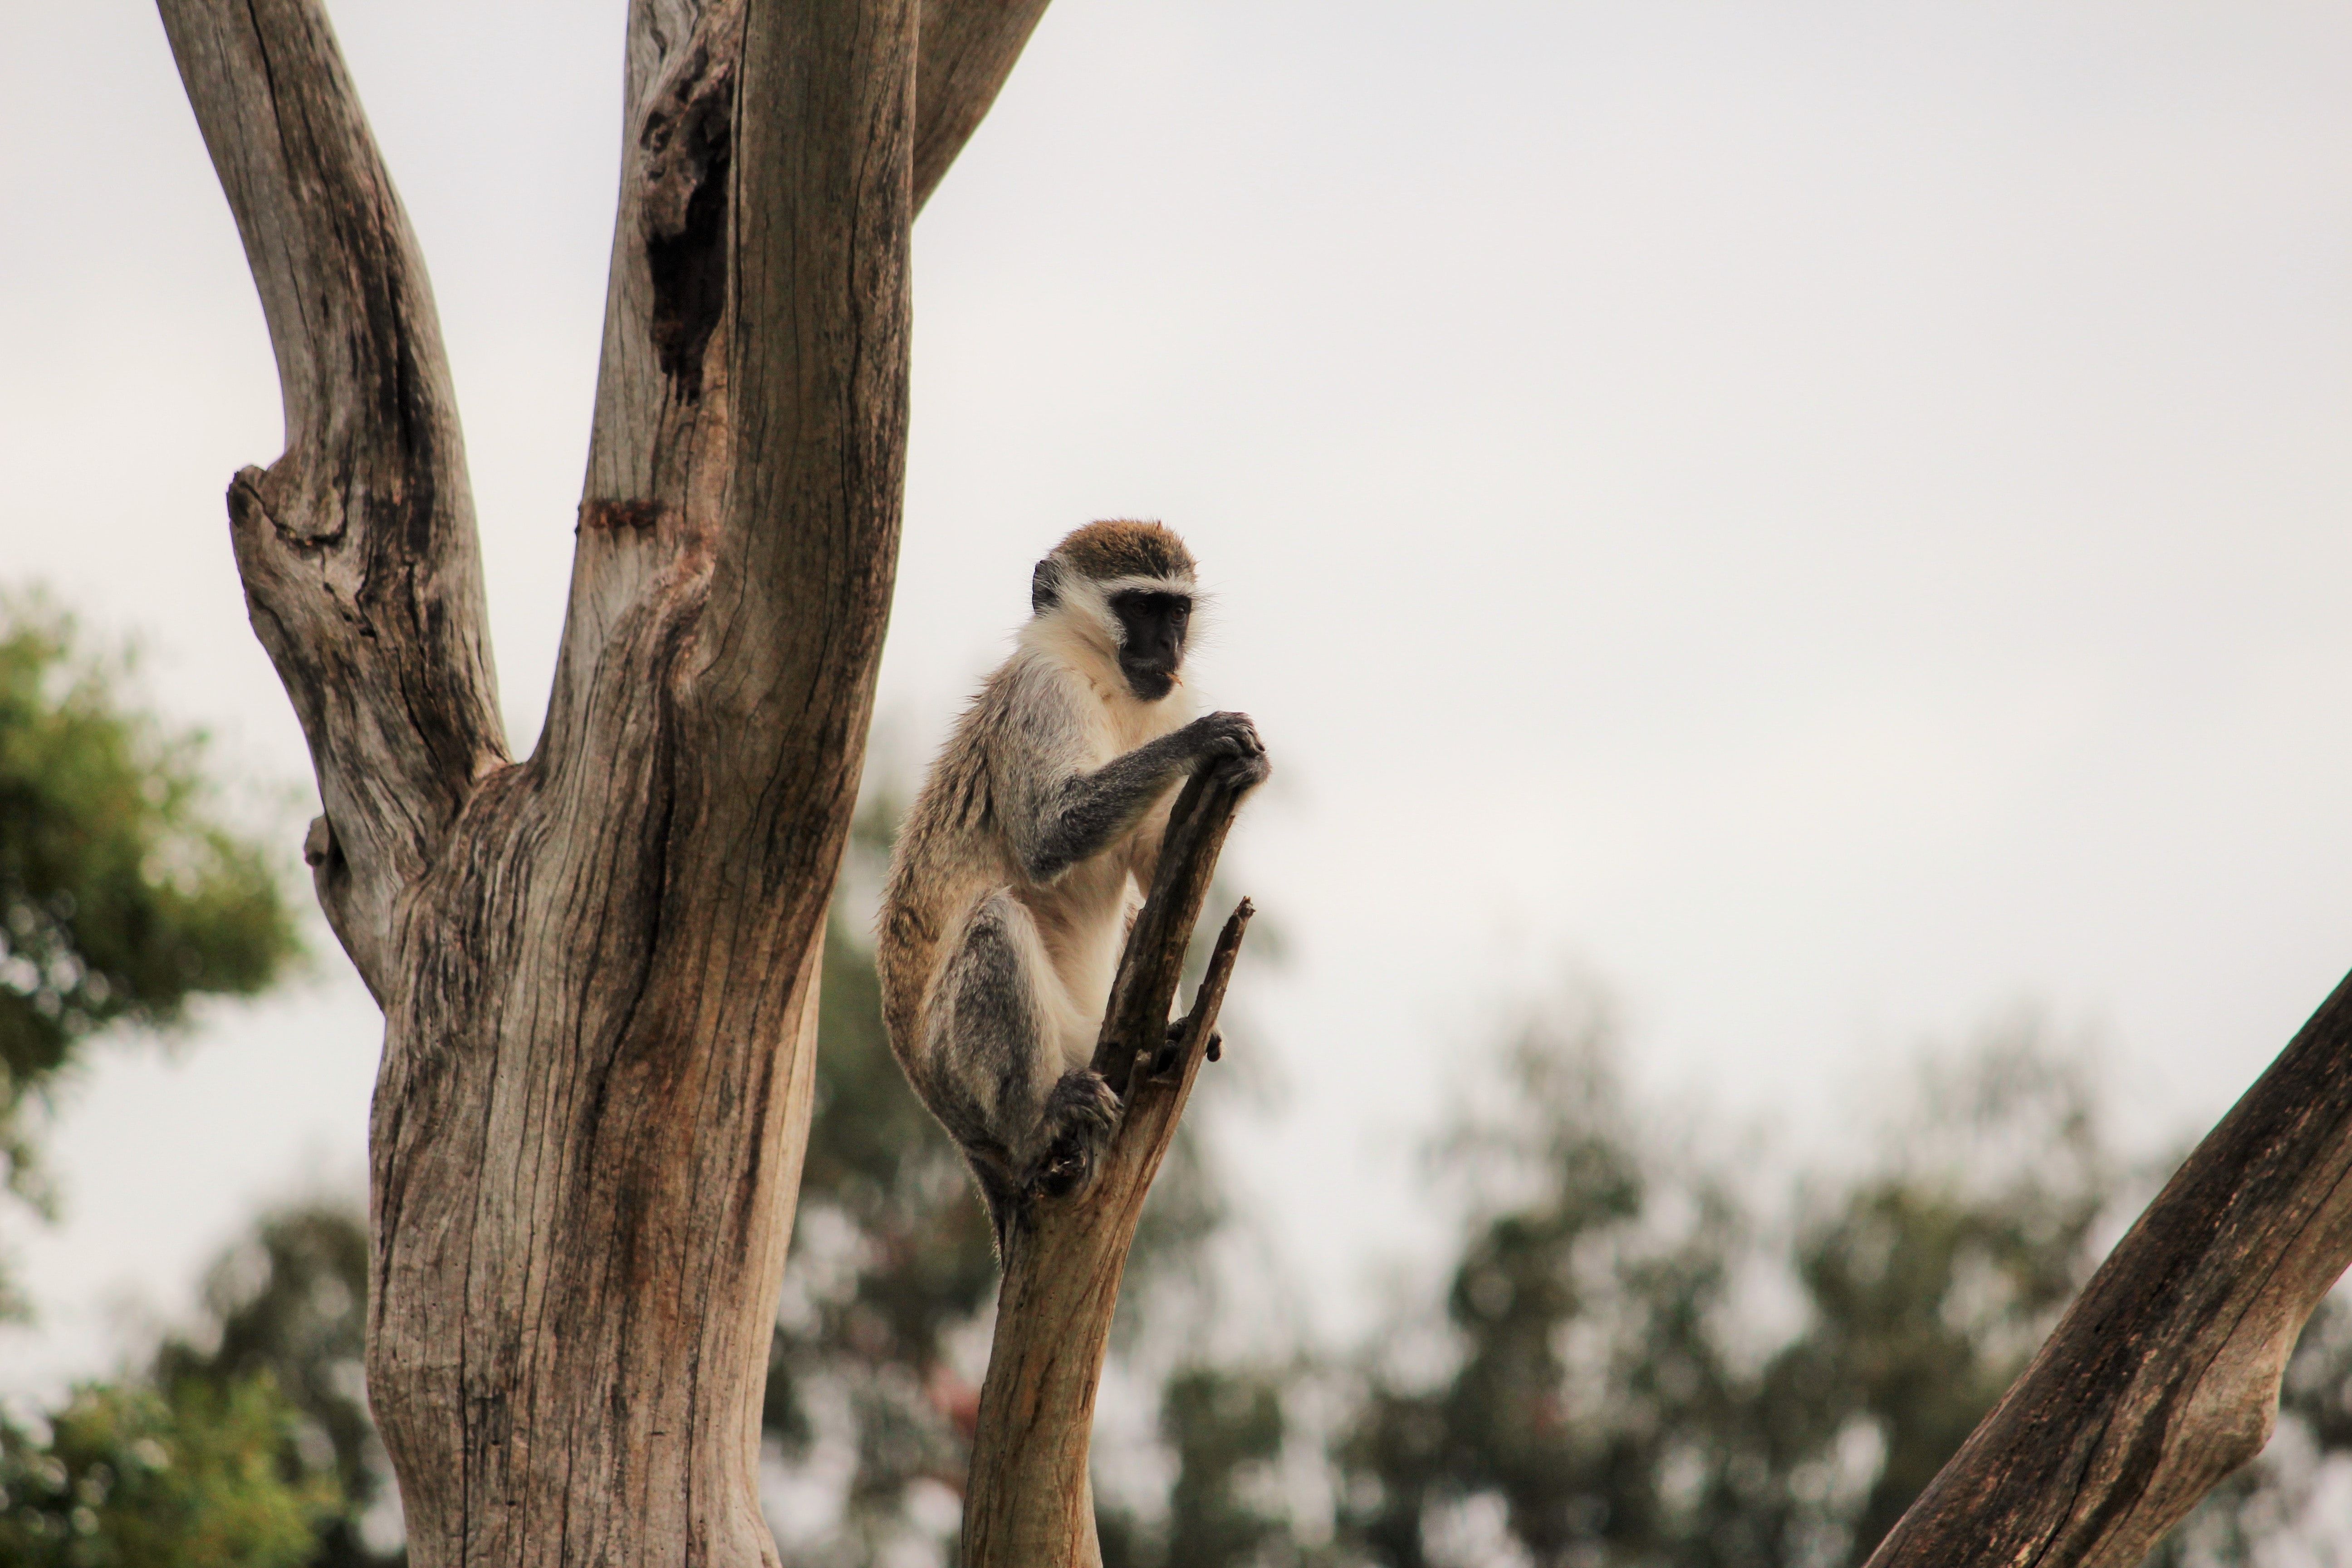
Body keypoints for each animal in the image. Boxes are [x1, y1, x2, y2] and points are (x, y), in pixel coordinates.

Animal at [876, 521, 1269, 1246]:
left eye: (1176, 611)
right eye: (1138, 607)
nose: (1167, 648)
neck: (1107, 682)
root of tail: (956, 1130)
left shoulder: (1168, 695)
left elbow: (1152, 859)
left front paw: (1245, 772)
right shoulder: (1044, 691)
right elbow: (1047, 833)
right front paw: (1202, 740)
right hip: (961, 1074)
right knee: (995, 924)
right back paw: (1045, 1115)